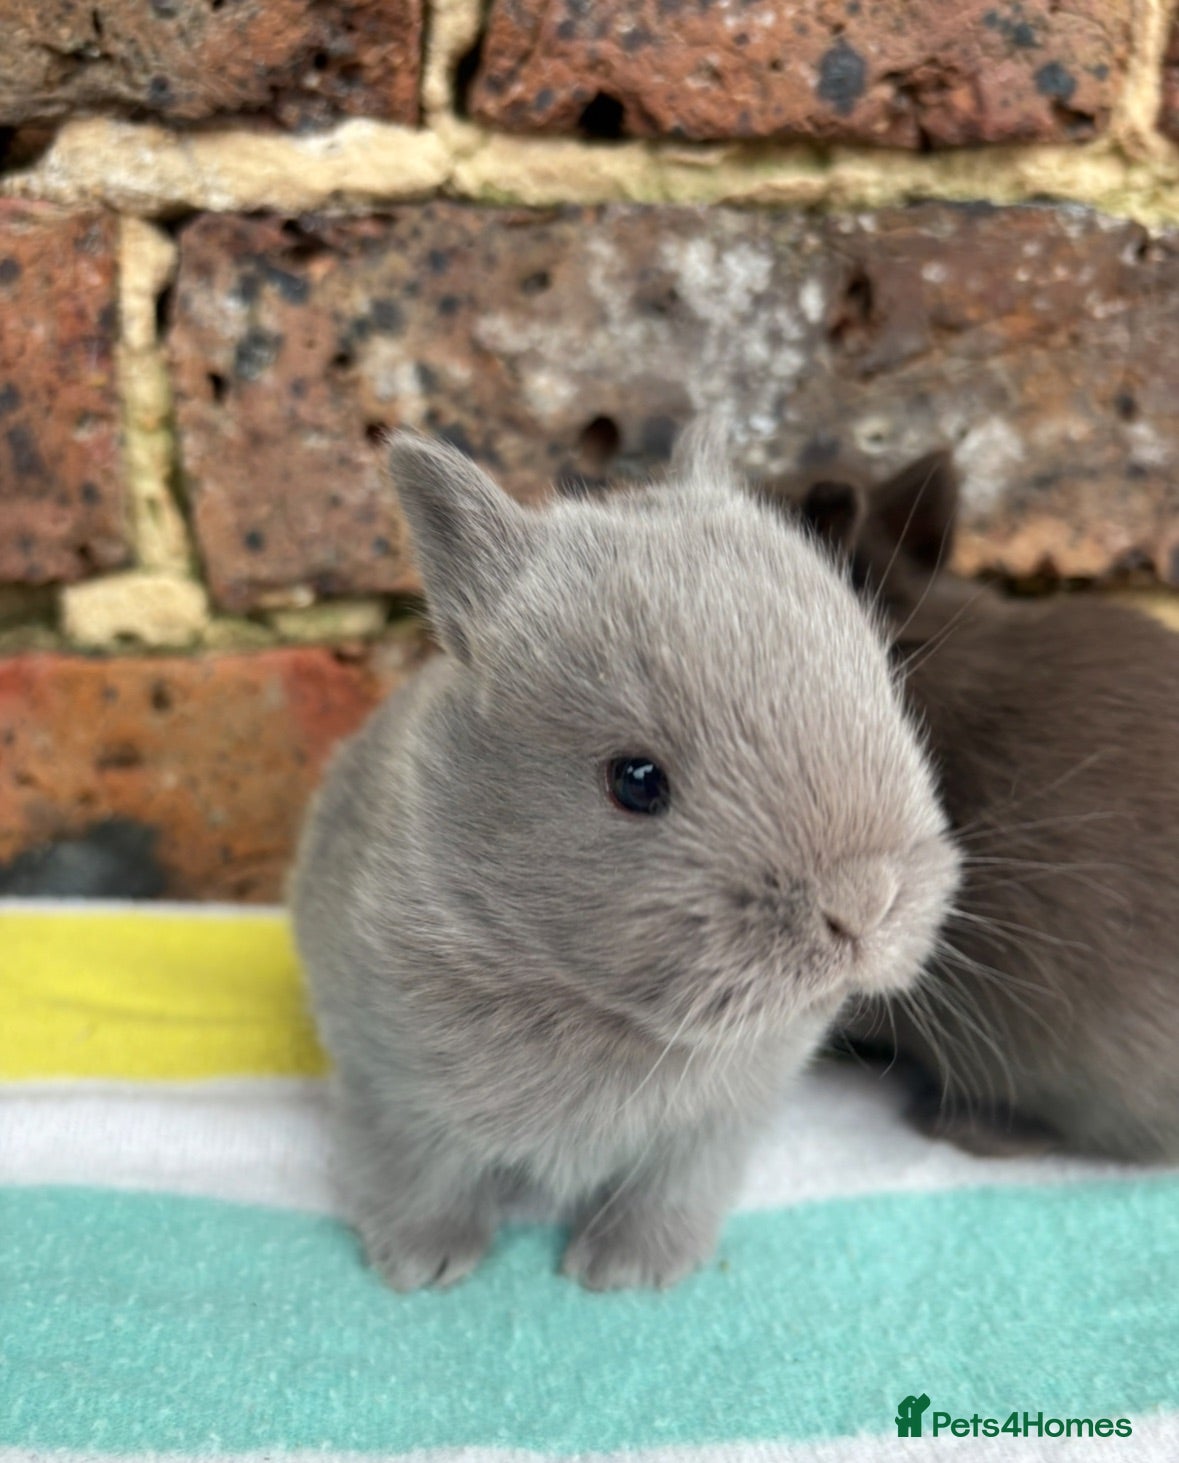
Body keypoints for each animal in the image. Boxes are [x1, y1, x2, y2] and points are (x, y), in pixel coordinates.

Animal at [289, 428, 959, 1292]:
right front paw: (423, 1264)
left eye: (881, 688)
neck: (611, 1014)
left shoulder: (709, 1134)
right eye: (635, 781)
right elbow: (416, 1175)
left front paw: (626, 1271)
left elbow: (667, 1191)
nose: (864, 904)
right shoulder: (390, 1092)